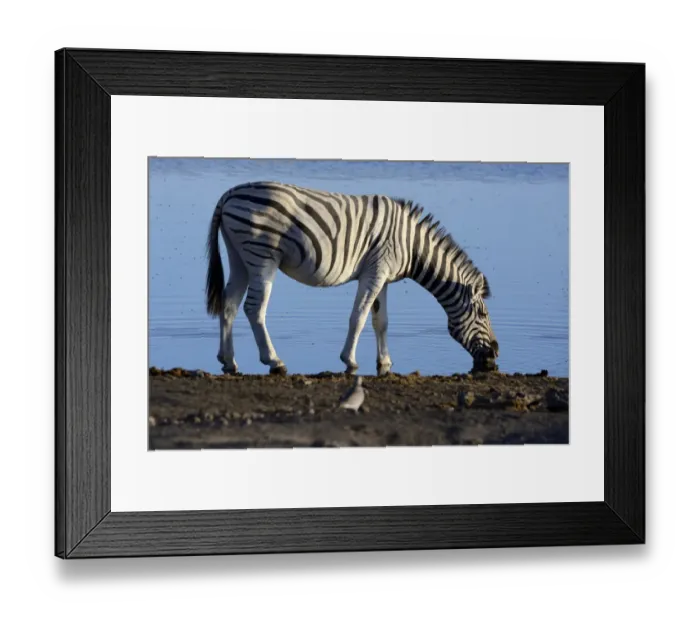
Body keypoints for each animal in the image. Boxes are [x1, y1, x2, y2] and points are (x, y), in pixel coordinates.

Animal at [205, 181, 499, 376]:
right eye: (483, 315)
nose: (496, 354)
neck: (412, 245)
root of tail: (229, 194)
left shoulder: (383, 278)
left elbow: (381, 322)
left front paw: (385, 362)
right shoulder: (375, 272)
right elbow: (358, 317)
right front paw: (350, 360)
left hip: (239, 257)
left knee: (229, 304)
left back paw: (227, 360)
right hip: (262, 256)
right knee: (254, 308)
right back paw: (274, 361)